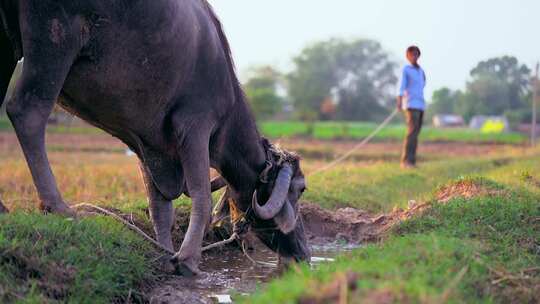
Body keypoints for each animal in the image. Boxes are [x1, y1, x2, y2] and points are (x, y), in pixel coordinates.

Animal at [0, 0, 310, 276]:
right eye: (300, 189)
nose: (305, 255)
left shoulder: (149, 146)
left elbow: (160, 208)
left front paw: (164, 254)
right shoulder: (195, 127)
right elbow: (201, 196)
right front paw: (187, 260)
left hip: (7, 42)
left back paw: (4, 209)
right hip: (54, 38)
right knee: (27, 111)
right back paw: (59, 207)